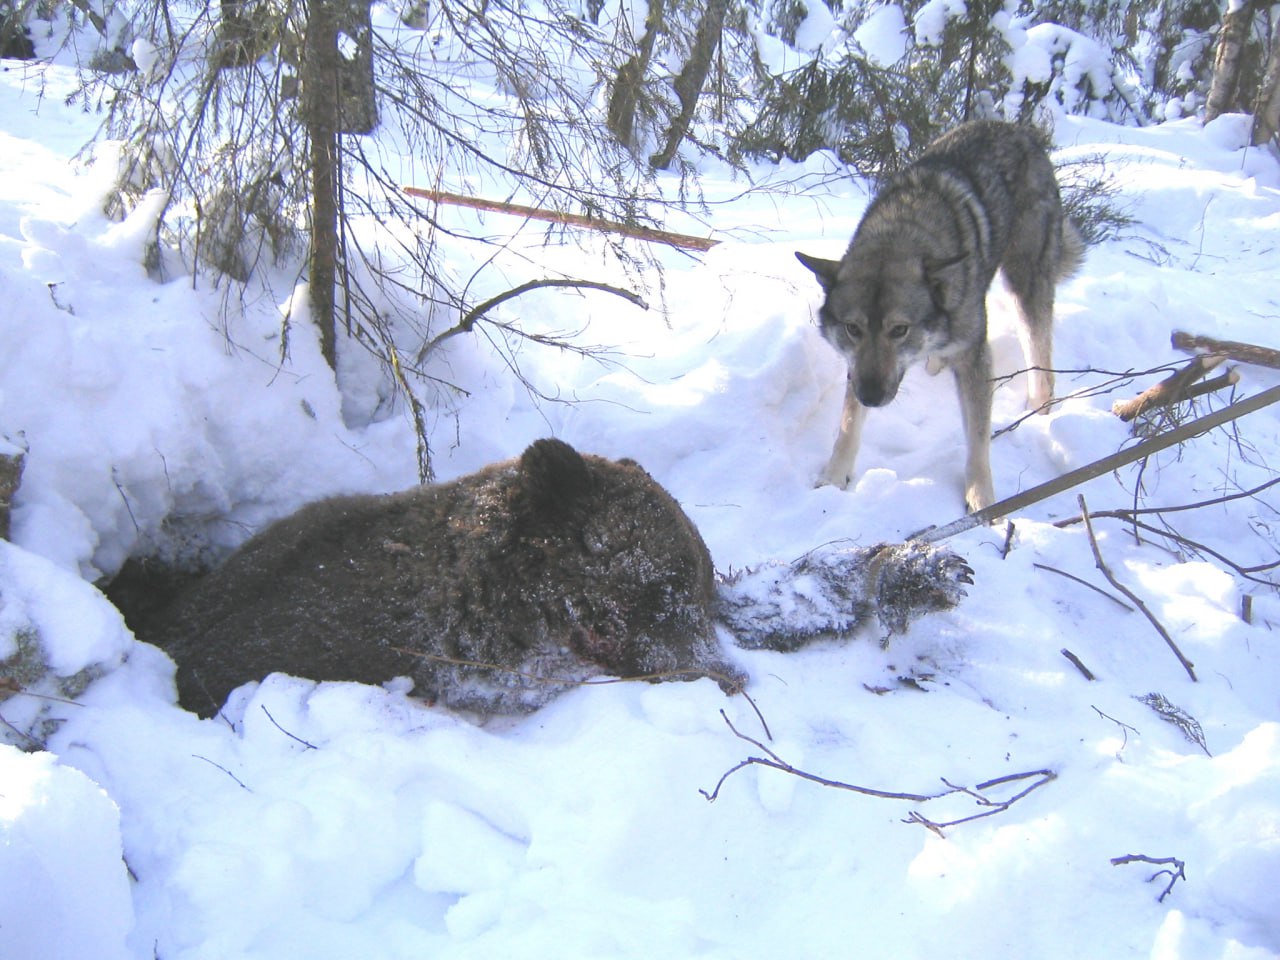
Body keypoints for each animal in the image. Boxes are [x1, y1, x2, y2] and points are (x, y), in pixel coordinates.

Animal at [798, 120, 1080, 514]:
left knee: (1041, 361)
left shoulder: (974, 355)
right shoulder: (857, 366)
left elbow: (977, 436)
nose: (870, 396)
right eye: (853, 328)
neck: (902, 232)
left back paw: (1039, 410)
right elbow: (848, 423)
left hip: (1025, 283)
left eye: (899, 329)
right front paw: (833, 478)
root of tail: (1014, 129)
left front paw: (982, 499)